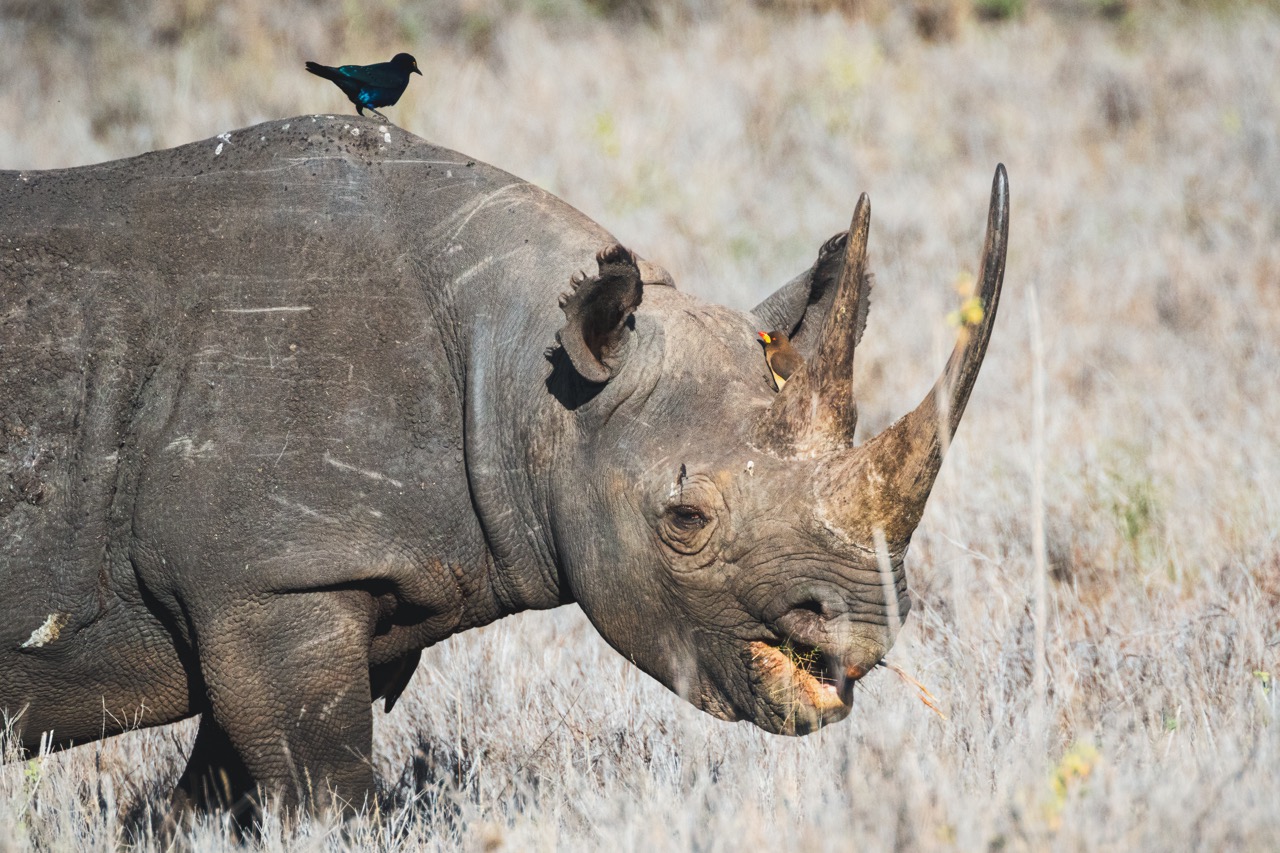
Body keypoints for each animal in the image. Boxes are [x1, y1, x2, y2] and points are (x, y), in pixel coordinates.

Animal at [0, 116, 1008, 818]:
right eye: (684, 520)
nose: (865, 628)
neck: (526, 378)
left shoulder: (310, 584)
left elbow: (214, 799)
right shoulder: (266, 581)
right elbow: (322, 791)